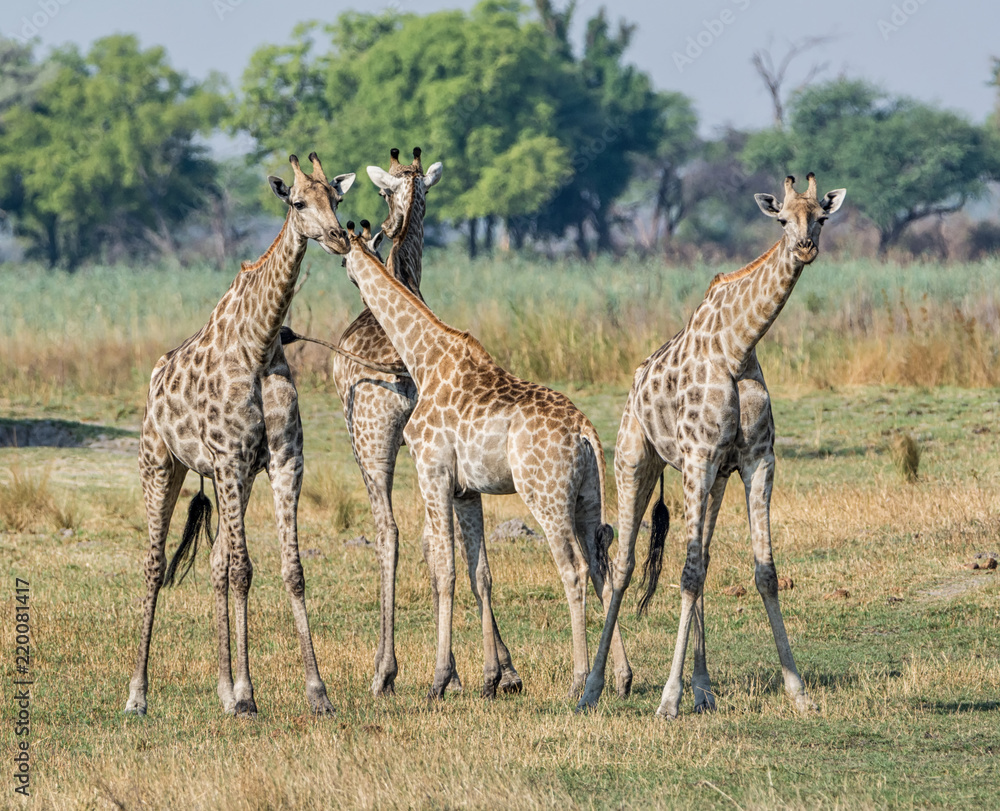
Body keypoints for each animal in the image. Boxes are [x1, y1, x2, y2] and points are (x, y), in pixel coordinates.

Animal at [124, 153, 355, 717]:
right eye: (298, 202)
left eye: (337, 198)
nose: (339, 239)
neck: (260, 343)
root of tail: (156, 376)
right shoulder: (229, 459)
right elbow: (245, 570)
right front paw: (250, 695)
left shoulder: (283, 461)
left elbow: (290, 570)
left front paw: (316, 692)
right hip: (160, 463)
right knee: (155, 564)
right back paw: (138, 694)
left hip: (235, 478)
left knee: (214, 563)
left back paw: (224, 689)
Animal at [331, 148, 521, 697]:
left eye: (379, 190)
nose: (379, 231)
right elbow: (456, 556)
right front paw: (482, 669)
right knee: (454, 552)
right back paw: (494, 671)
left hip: (372, 443)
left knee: (390, 533)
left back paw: (385, 670)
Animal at [335, 219, 632, 700]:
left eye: (345, 263)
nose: (358, 295)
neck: (424, 357)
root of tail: (586, 431)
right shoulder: (465, 489)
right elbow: (479, 572)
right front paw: (490, 678)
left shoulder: (432, 471)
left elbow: (445, 568)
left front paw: (439, 680)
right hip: (588, 497)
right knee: (602, 568)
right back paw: (618, 679)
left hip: (546, 495)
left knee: (573, 569)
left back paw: (576, 683)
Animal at [578, 174, 846, 717]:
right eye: (782, 219)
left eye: (822, 218)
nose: (805, 247)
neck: (738, 347)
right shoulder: (699, 457)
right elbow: (685, 574)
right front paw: (668, 700)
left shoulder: (756, 460)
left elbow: (761, 571)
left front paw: (799, 692)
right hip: (634, 462)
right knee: (624, 566)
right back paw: (595, 688)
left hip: (712, 479)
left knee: (699, 557)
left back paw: (703, 689)